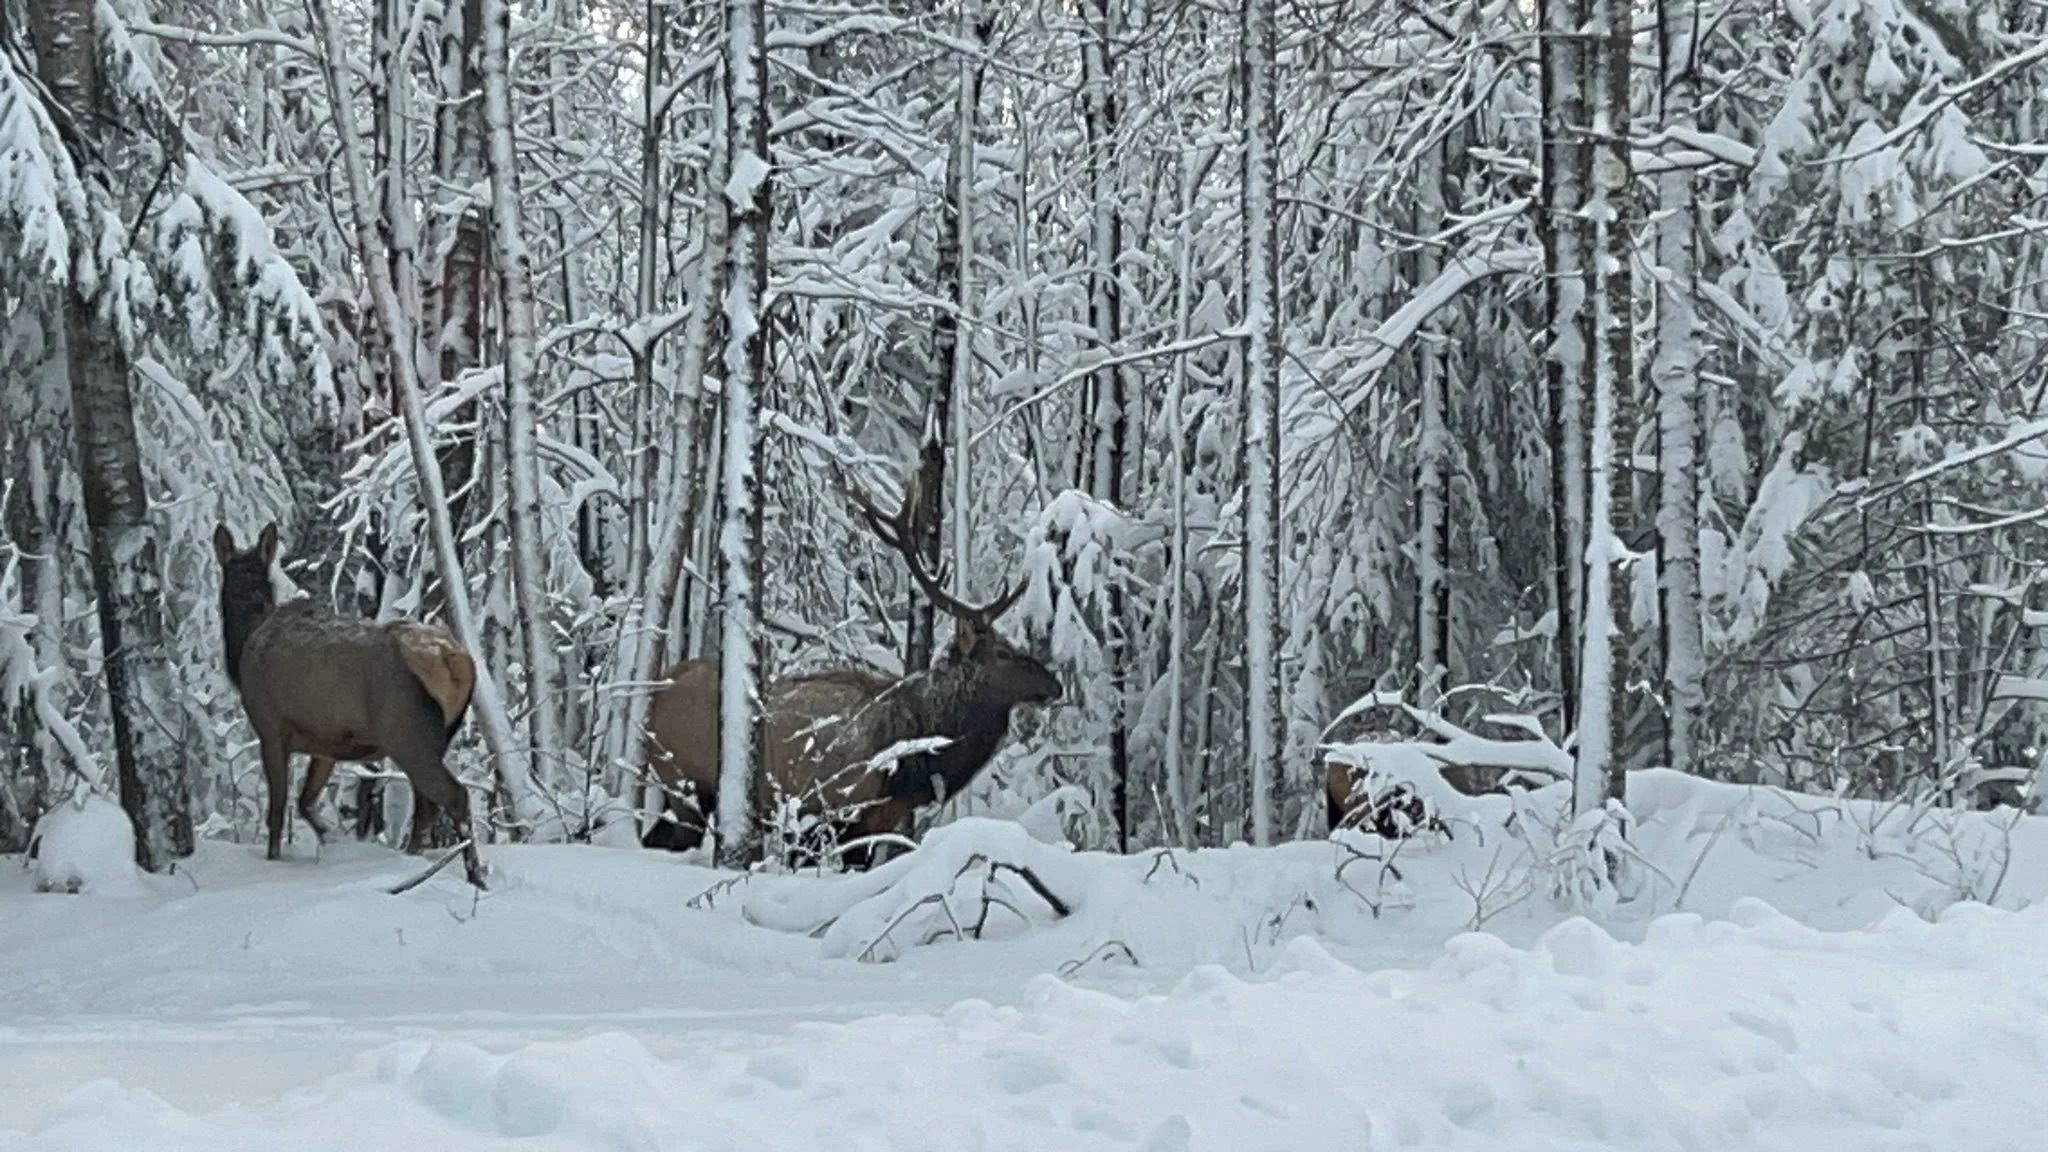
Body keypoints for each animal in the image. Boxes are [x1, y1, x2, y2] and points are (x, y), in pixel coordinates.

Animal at [212, 523, 488, 889]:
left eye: (258, 579)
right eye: (236, 578)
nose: (248, 599)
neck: (242, 649)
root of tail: (456, 661)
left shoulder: (270, 728)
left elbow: (278, 810)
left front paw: (276, 859)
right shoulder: (325, 743)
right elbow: (305, 801)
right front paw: (330, 838)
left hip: (406, 733)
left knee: (453, 796)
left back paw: (471, 876)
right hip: (435, 737)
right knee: (426, 805)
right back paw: (416, 859)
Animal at [639, 475, 1063, 869]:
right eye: (1003, 653)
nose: (1056, 685)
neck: (912, 761)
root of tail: (651, 693)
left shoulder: (882, 819)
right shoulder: (836, 811)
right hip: (686, 784)